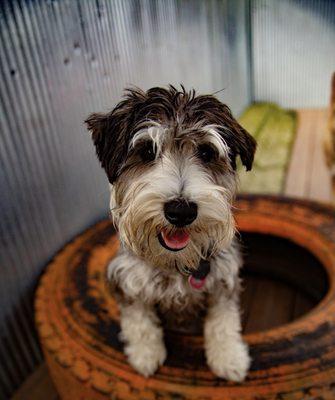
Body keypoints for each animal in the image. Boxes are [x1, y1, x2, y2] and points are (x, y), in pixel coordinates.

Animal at [85, 86, 256, 382]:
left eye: (206, 153)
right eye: (147, 151)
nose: (181, 211)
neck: (174, 263)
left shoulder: (223, 282)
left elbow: (223, 322)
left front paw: (229, 358)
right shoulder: (128, 280)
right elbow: (139, 322)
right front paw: (145, 356)